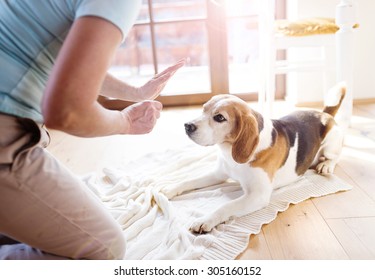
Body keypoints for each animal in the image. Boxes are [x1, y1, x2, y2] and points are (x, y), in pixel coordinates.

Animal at [164, 84, 346, 233]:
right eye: (203, 109)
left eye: (220, 118)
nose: (187, 126)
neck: (230, 153)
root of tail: (323, 113)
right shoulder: (218, 174)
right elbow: (189, 181)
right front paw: (170, 189)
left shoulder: (258, 195)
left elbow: (226, 206)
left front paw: (206, 220)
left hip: (331, 144)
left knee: (335, 157)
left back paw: (326, 165)